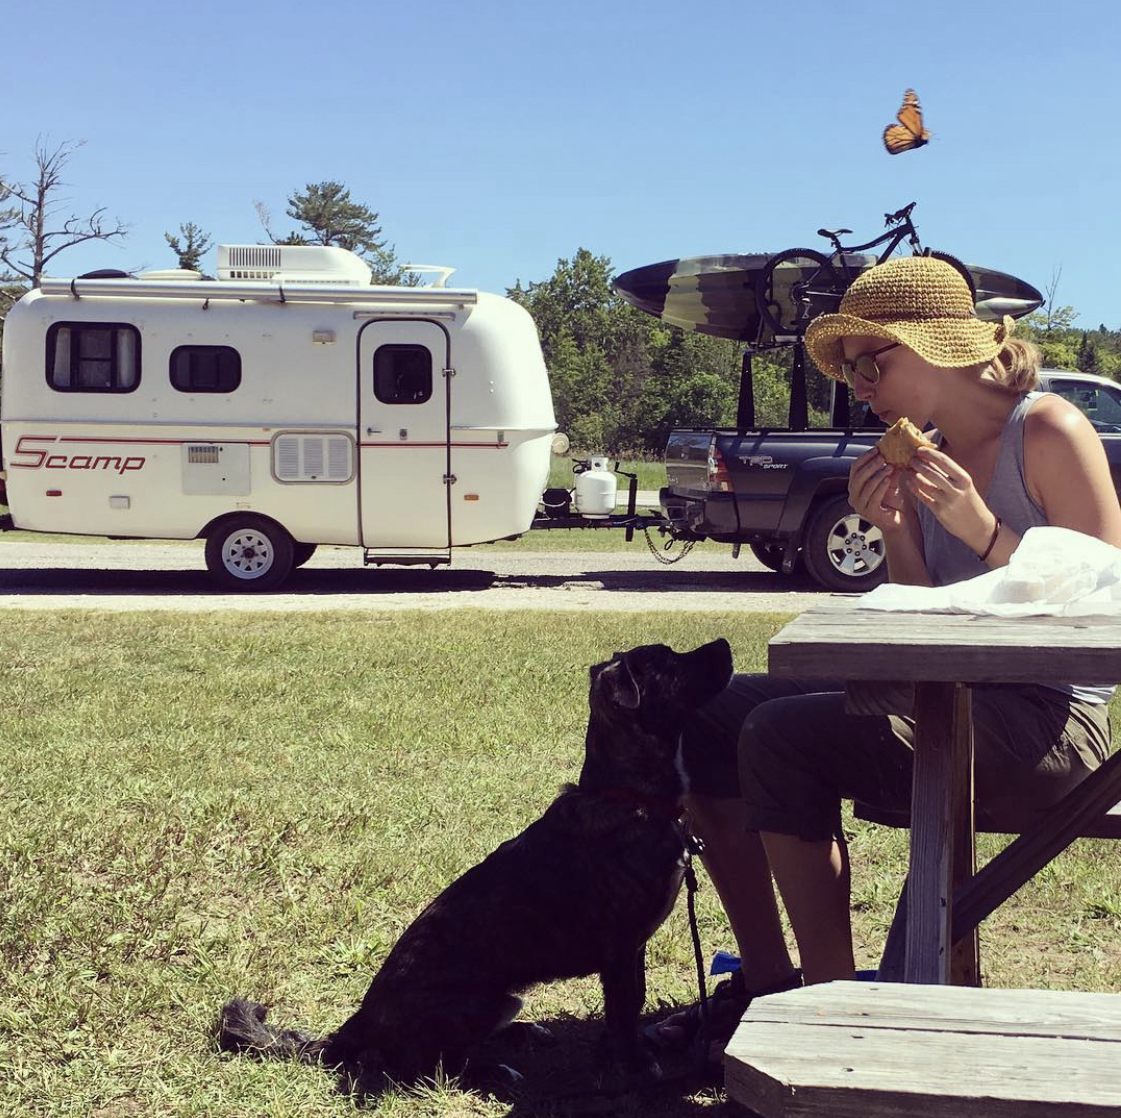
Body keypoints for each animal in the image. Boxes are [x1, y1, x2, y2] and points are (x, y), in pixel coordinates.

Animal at [218, 641, 735, 1085]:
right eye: (669, 662)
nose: (725, 644)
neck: (629, 797)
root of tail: (353, 1026)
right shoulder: (622, 946)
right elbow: (626, 1010)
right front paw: (635, 1065)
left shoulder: (629, 950)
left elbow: (625, 1008)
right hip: (481, 1002)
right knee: (430, 1067)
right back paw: (494, 1070)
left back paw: (523, 1035)